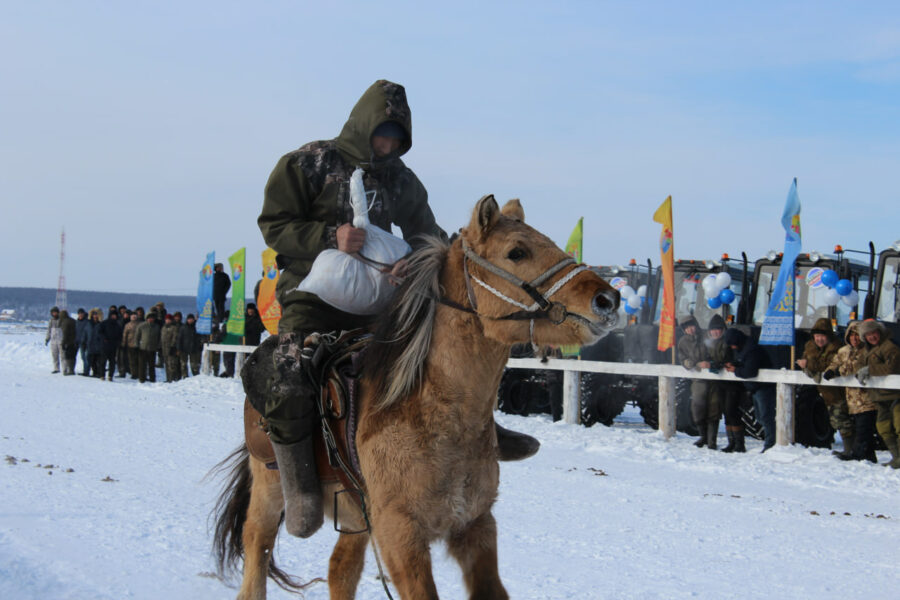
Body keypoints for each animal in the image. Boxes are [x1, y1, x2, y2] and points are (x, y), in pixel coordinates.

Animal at [211, 195, 620, 596]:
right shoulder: (400, 533)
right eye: (516, 252)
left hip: (357, 515)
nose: (608, 299)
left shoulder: (475, 524)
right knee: (257, 549)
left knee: (341, 569)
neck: (439, 418)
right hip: (270, 495)